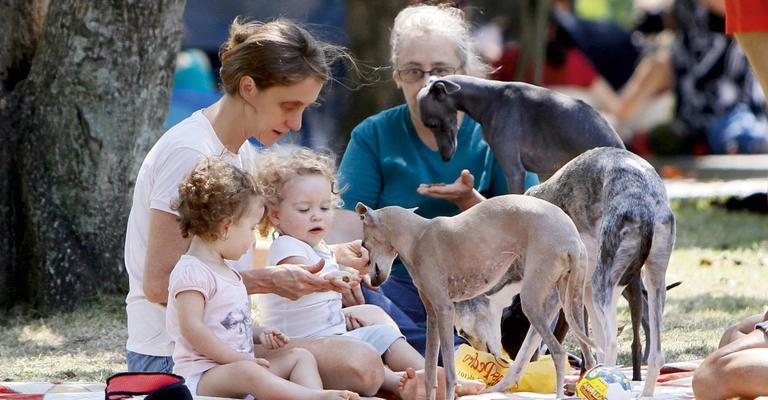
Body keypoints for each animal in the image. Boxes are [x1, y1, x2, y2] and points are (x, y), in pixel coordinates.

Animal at [356, 196, 596, 400]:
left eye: (364, 245)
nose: (372, 281)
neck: (418, 235)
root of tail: (572, 237)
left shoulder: (445, 309)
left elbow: (450, 373)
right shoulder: (432, 314)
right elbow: (430, 372)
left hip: (533, 301)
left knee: (559, 352)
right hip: (570, 302)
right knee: (589, 358)